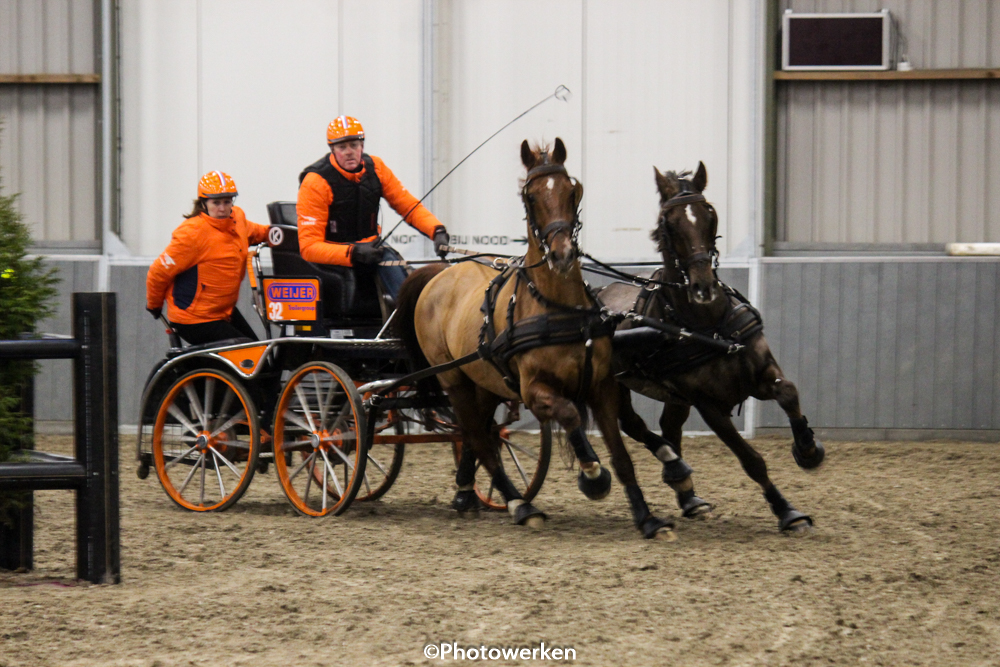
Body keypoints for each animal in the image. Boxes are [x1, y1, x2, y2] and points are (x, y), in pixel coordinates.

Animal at [394, 138, 684, 540]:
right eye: (530, 196)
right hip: (453, 379)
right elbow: (570, 415)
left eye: (572, 190)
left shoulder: (602, 387)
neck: (556, 307)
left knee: (478, 432)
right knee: (479, 436)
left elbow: (622, 455)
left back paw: (467, 494)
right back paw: (520, 504)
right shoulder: (533, 391)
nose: (562, 254)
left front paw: (648, 519)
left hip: (485, 381)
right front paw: (592, 475)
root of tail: (439, 274)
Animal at [596, 164, 824, 536]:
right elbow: (751, 460)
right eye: (669, 223)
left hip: (674, 395)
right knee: (632, 423)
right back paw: (675, 471)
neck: (707, 324)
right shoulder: (709, 405)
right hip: (617, 384)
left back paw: (688, 495)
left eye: (709, 214)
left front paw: (807, 449)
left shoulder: (760, 371)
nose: (703, 286)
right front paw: (787, 511)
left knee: (668, 427)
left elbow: (788, 392)